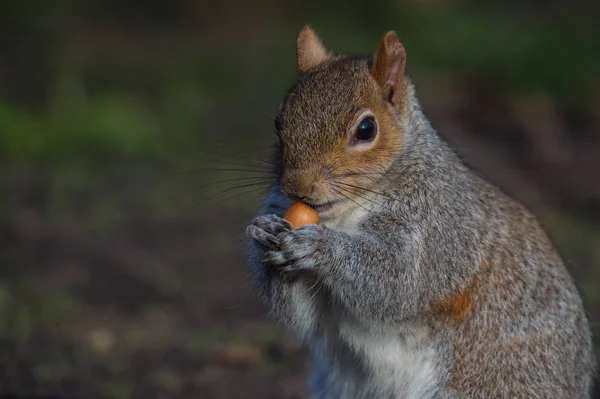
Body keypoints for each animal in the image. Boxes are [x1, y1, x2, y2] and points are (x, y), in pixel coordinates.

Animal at [245, 25, 596, 399]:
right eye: (279, 123)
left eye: (366, 129)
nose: (298, 187)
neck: (343, 214)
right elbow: (303, 315)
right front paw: (265, 234)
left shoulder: (440, 228)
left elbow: (399, 280)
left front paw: (318, 246)